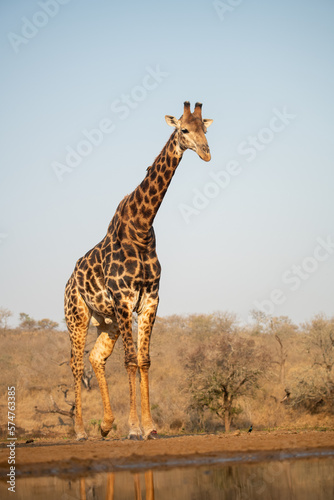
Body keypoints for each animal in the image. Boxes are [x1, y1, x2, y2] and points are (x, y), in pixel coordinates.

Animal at [64, 101, 213, 442]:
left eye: (206, 129)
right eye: (184, 129)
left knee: (96, 358)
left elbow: (144, 361)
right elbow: (131, 361)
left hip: (107, 322)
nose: (206, 153)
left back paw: (106, 425)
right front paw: (133, 429)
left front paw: (150, 427)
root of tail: (68, 281)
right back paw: (80, 431)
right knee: (76, 364)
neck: (141, 228)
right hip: (77, 316)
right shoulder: (123, 299)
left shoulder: (150, 300)